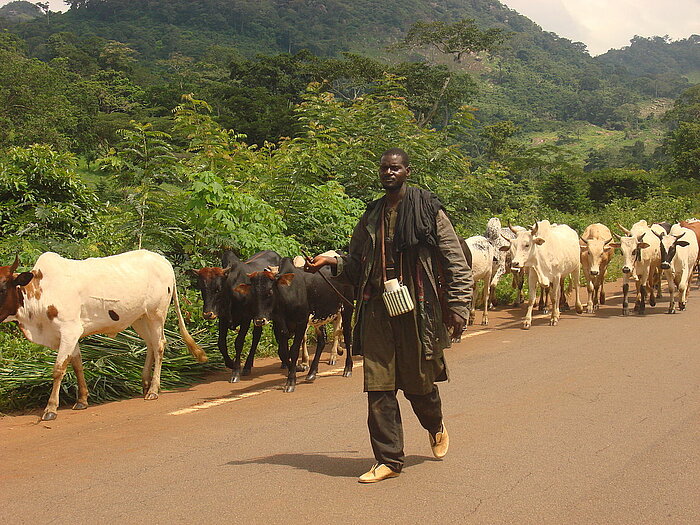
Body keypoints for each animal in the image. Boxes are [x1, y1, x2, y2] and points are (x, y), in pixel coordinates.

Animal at [0, 251, 208, 422]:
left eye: (2, 288)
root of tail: (163, 260)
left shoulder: (69, 330)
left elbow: (59, 369)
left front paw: (50, 409)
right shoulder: (72, 334)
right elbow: (77, 365)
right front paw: (82, 400)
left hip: (156, 314)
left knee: (159, 345)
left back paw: (153, 389)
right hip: (139, 318)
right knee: (150, 343)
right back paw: (145, 383)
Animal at [191, 249, 282, 380]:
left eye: (218, 289)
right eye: (202, 289)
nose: (208, 314)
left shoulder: (246, 318)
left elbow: (239, 342)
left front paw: (236, 371)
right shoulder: (223, 319)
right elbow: (221, 343)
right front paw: (230, 363)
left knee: (258, 336)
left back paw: (248, 366)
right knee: (257, 335)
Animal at [242, 256, 356, 390]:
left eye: (270, 292)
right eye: (252, 293)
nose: (260, 320)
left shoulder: (301, 323)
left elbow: (294, 350)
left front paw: (291, 381)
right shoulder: (282, 326)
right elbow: (284, 351)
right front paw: (297, 368)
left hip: (346, 309)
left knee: (347, 335)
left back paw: (347, 368)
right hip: (319, 318)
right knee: (322, 341)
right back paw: (312, 373)